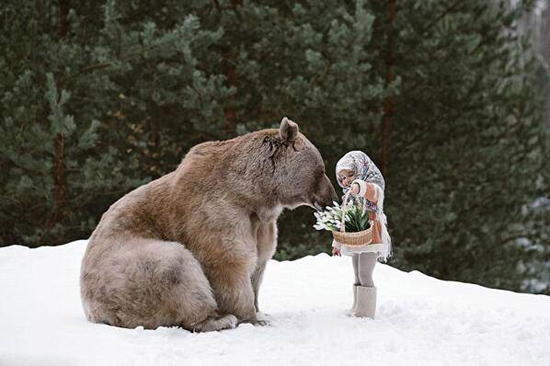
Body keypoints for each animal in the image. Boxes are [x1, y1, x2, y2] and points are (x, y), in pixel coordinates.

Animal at [80, 117, 338, 332]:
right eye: (321, 170)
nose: (332, 198)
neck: (253, 195)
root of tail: (94, 314)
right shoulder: (217, 211)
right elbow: (229, 261)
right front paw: (251, 317)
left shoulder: (261, 225)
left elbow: (259, 263)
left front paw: (261, 311)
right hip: (126, 270)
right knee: (175, 268)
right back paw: (217, 320)